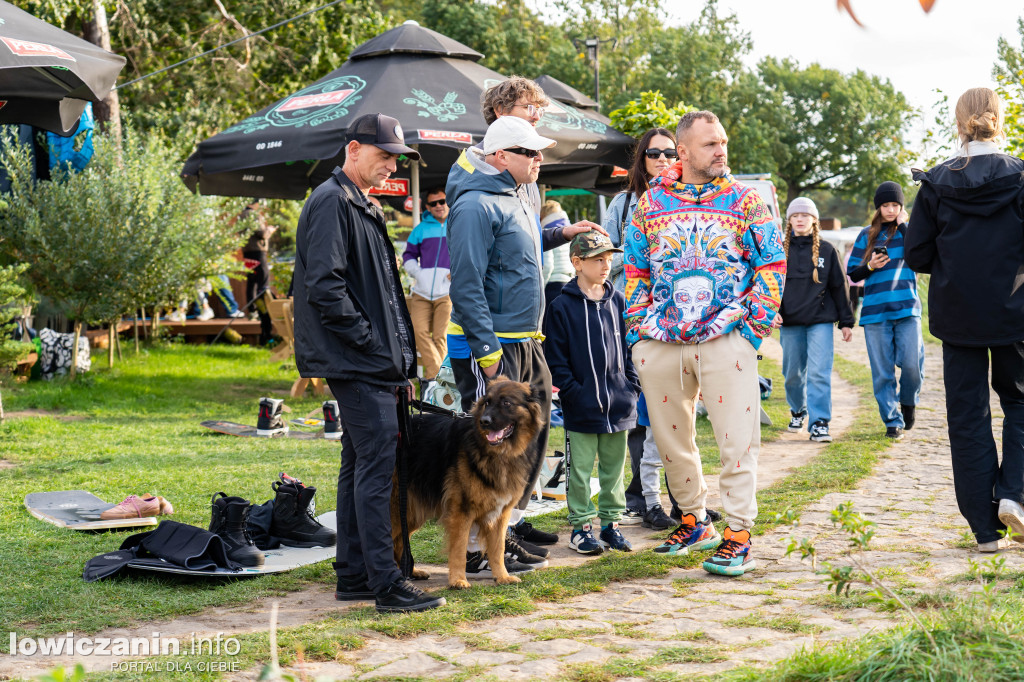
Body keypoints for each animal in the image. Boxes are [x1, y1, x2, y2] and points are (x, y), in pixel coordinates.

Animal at [391, 374, 548, 585]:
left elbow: (497, 549)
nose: (484, 421)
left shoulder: (500, 514)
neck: (498, 453)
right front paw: (458, 579)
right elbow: (459, 548)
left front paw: (502, 576)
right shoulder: (461, 511)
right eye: (487, 402)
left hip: (411, 511)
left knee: (400, 540)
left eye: (506, 403)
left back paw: (410, 572)